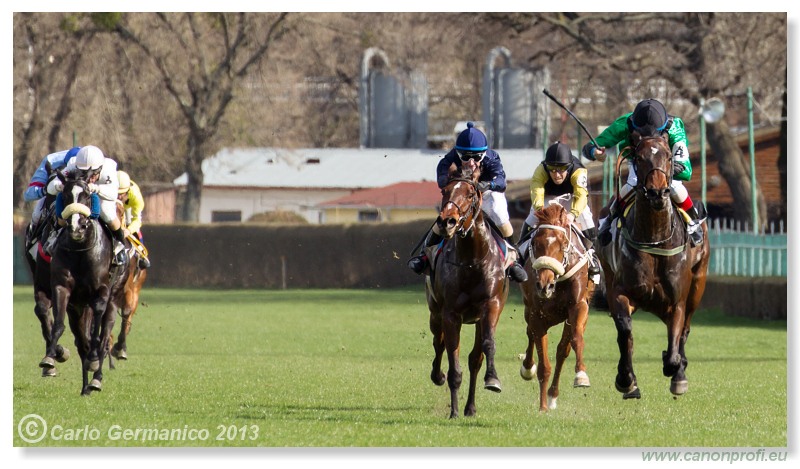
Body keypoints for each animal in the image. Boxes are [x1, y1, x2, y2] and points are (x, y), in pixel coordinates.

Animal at [47, 170, 129, 394]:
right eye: (66, 195)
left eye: (86, 195)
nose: (77, 227)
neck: (80, 250)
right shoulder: (62, 288)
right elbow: (59, 324)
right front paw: (49, 357)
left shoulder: (101, 292)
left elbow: (97, 336)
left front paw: (94, 363)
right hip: (78, 309)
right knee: (81, 341)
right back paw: (85, 386)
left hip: (114, 299)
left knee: (104, 337)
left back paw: (96, 379)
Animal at [422, 165, 510, 416]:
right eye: (445, 190)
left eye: (471, 194)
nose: (447, 222)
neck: (472, 260)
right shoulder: (451, 314)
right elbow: (452, 357)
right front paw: (453, 411)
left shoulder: (491, 306)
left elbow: (486, 347)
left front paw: (492, 379)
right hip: (435, 313)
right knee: (438, 342)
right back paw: (438, 376)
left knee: (474, 359)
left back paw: (470, 407)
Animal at [520, 203, 592, 412]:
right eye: (536, 243)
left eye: (562, 245)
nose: (545, 285)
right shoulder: (537, 315)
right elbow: (544, 364)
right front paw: (542, 406)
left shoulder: (579, 307)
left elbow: (575, 340)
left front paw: (581, 375)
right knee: (530, 334)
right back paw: (528, 368)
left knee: (562, 351)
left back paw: (553, 394)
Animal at [596, 133, 708, 398]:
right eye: (639, 157)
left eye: (668, 156)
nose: (657, 192)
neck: (655, 238)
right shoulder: (621, 292)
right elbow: (625, 333)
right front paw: (626, 379)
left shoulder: (677, 301)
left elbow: (675, 343)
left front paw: (674, 368)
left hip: (697, 286)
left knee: (685, 330)